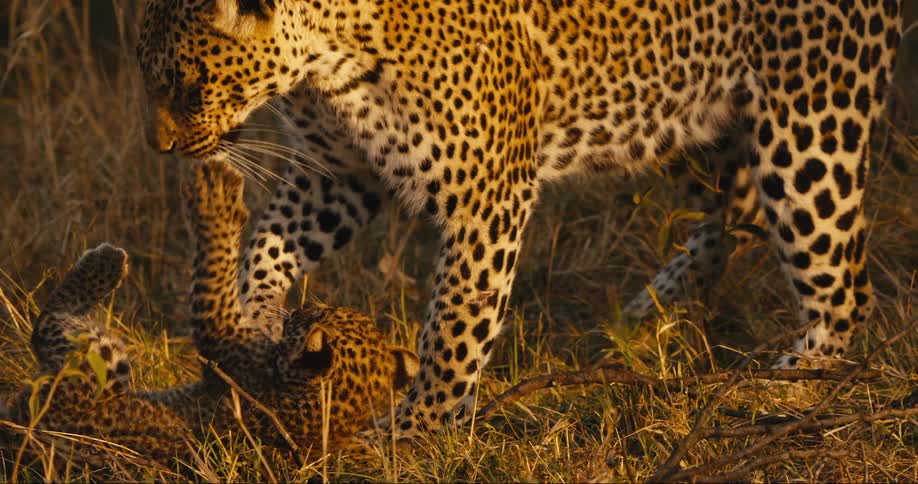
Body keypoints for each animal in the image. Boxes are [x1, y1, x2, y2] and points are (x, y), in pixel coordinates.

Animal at [3, 162, 418, 471]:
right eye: (326, 310)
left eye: (316, 314)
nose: (302, 307)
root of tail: (21, 423)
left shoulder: (222, 338)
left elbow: (213, 273)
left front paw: (216, 195)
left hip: (98, 367)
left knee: (47, 323)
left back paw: (107, 261)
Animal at [135, 0, 903, 436]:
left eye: (189, 84)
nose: (160, 149)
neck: (327, 57)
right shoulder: (337, 175)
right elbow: (267, 243)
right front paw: (257, 321)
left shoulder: (486, 190)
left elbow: (454, 323)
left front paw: (420, 426)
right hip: (682, 115)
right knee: (734, 215)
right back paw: (646, 313)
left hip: (805, 130)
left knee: (844, 287)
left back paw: (784, 383)